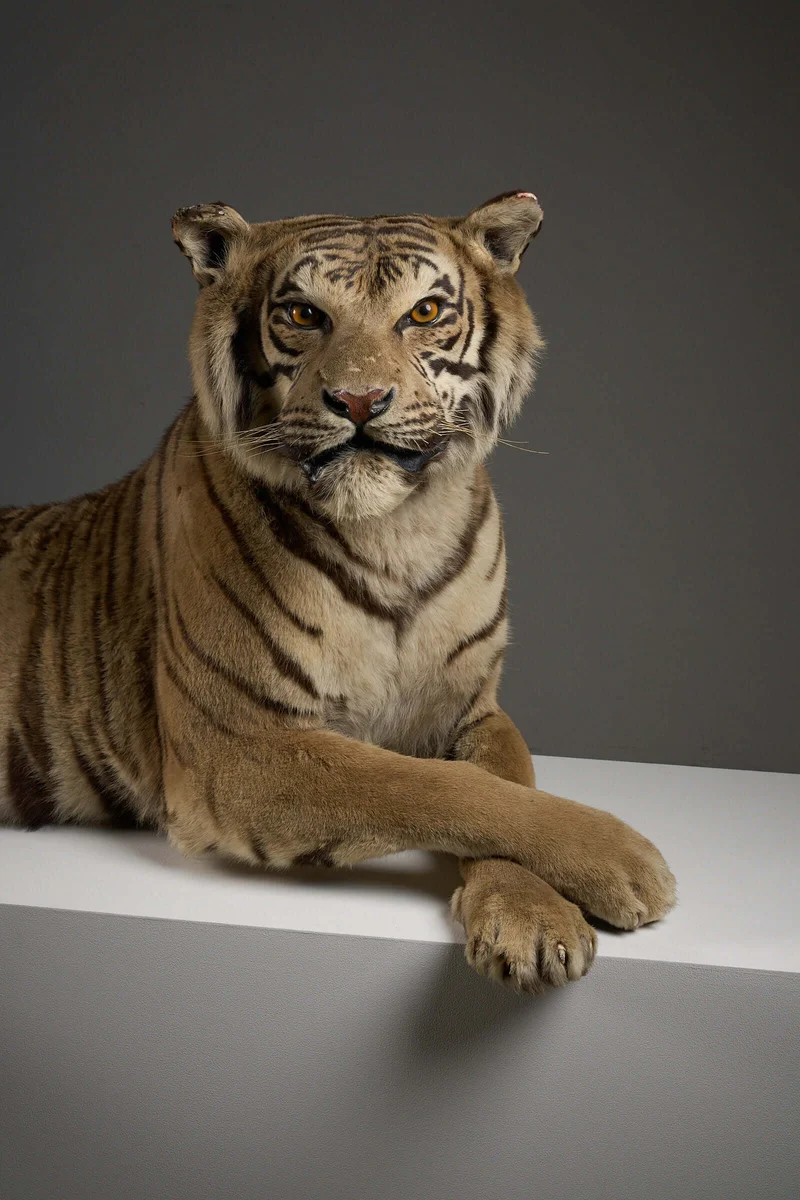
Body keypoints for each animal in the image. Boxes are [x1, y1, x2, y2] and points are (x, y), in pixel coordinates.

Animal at [0, 191, 676, 993]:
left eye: (423, 312)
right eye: (304, 314)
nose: (358, 400)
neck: (394, 531)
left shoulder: (475, 709)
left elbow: (510, 785)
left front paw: (532, 920)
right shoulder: (240, 743)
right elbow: (435, 788)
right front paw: (627, 864)